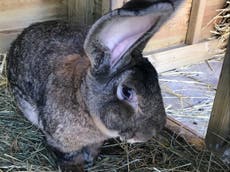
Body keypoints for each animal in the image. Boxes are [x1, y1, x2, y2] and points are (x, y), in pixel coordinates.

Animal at [6, 0, 183, 171]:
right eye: (127, 91)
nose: (150, 133)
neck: (83, 102)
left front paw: (90, 160)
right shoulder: (62, 142)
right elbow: (70, 156)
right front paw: (76, 167)